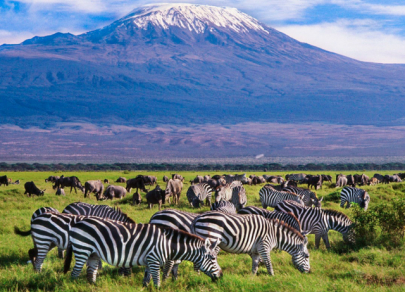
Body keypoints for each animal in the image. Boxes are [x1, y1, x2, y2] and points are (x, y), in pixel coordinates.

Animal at [63, 218, 223, 286]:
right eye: (213, 258)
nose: (221, 276)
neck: (167, 244)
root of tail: (77, 223)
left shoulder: (148, 261)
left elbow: (147, 280)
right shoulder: (154, 259)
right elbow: (157, 280)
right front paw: (158, 288)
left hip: (93, 254)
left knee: (91, 273)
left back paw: (93, 286)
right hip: (83, 249)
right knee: (75, 273)